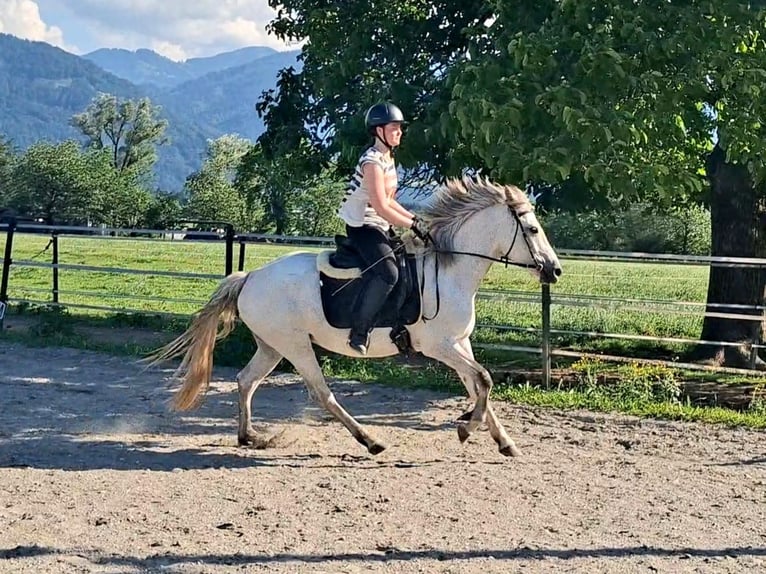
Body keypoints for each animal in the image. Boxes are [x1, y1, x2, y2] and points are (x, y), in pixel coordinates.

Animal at [146, 176, 562, 457]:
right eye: (532, 229)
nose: (555, 270)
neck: (450, 271)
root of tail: (250, 277)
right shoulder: (440, 346)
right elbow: (485, 380)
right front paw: (466, 427)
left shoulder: (460, 343)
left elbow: (477, 385)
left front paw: (503, 441)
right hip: (296, 347)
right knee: (321, 393)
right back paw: (370, 440)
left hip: (272, 346)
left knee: (246, 380)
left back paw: (249, 436)